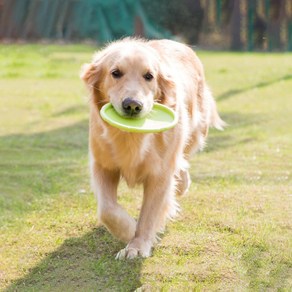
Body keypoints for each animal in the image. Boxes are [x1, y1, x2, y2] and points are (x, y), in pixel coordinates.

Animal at [80, 37, 224, 258]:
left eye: (149, 76)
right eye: (115, 73)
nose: (132, 105)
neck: (131, 136)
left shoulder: (160, 174)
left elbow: (149, 213)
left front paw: (137, 244)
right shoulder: (103, 166)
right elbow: (107, 210)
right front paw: (129, 229)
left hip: (195, 129)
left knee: (183, 159)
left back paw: (182, 183)